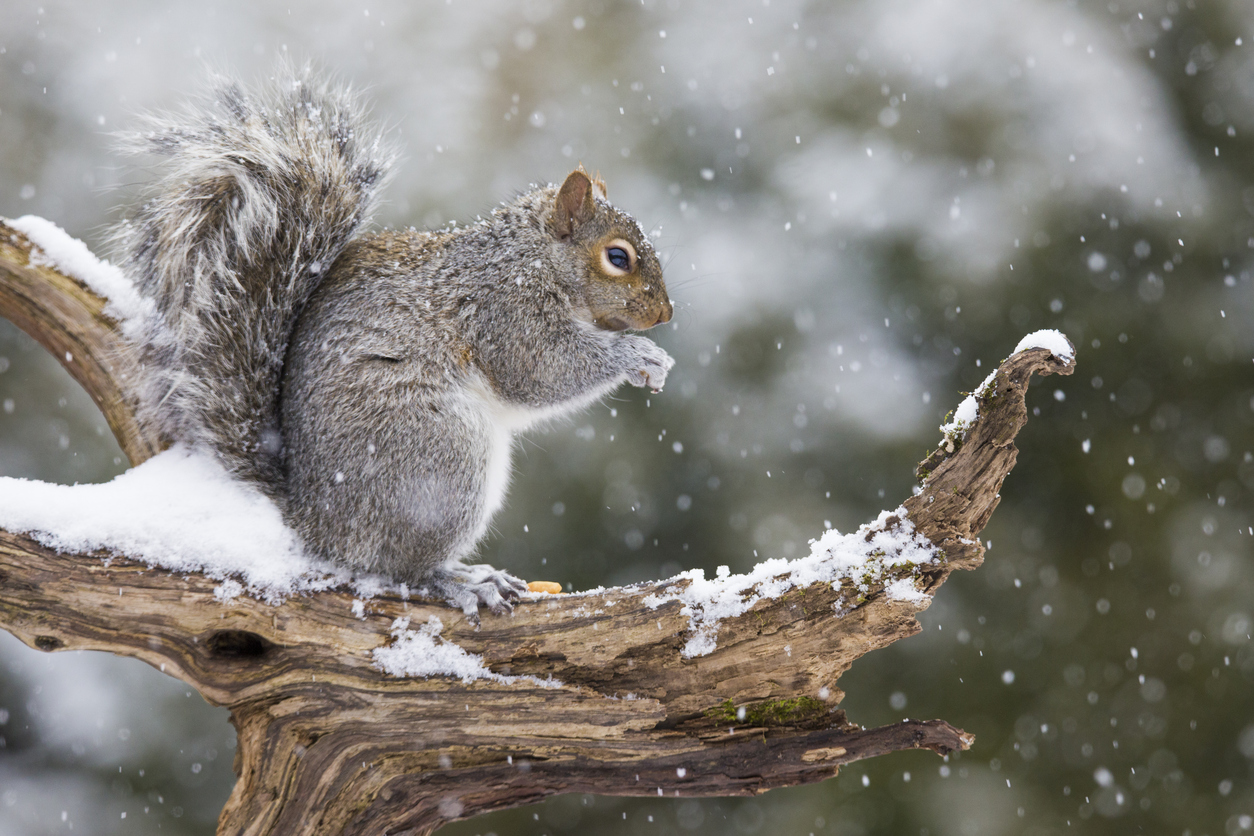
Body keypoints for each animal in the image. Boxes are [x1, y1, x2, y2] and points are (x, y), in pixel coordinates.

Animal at [112, 67, 672, 614]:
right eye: (617, 257)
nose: (665, 314)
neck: (531, 258)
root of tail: (315, 521)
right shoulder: (505, 312)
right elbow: (542, 371)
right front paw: (638, 356)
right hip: (438, 461)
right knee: (400, 568)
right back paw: (462, 582)